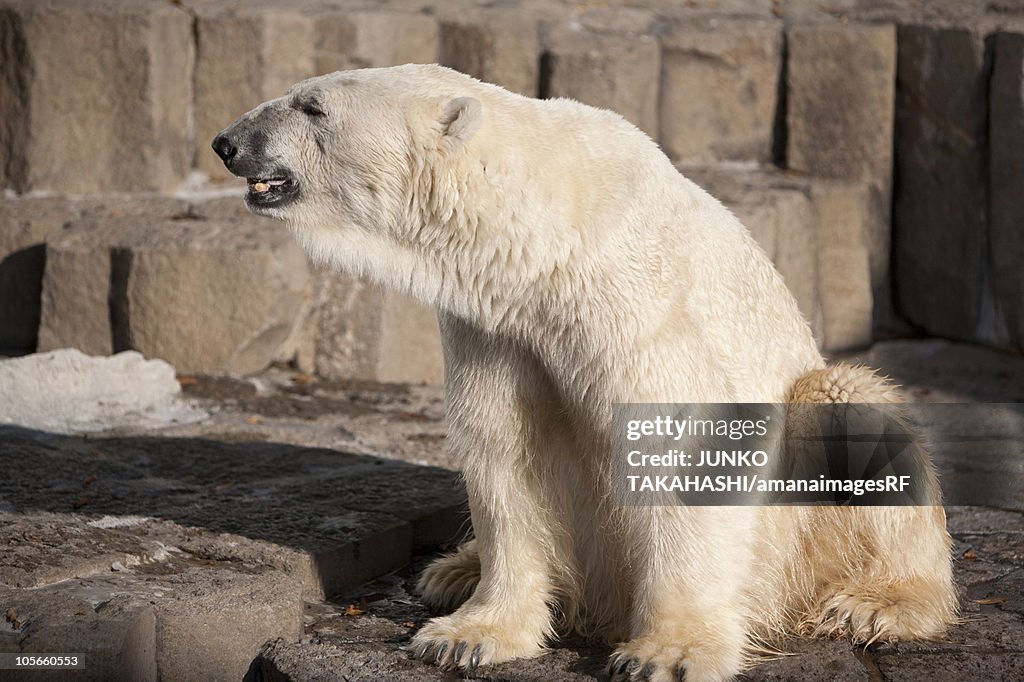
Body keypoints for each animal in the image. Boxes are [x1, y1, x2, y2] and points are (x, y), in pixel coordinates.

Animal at [216, 65, 958, 679]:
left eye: (312, 106)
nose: (226, 142)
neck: (548, 243)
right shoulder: (497, 325)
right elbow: (505, 450)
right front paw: (467, 635)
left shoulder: (636, 300)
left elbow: (682, 443)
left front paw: (670, 653)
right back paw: (452, 568)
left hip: (802, 519)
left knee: (847, 405)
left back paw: (876, 604)